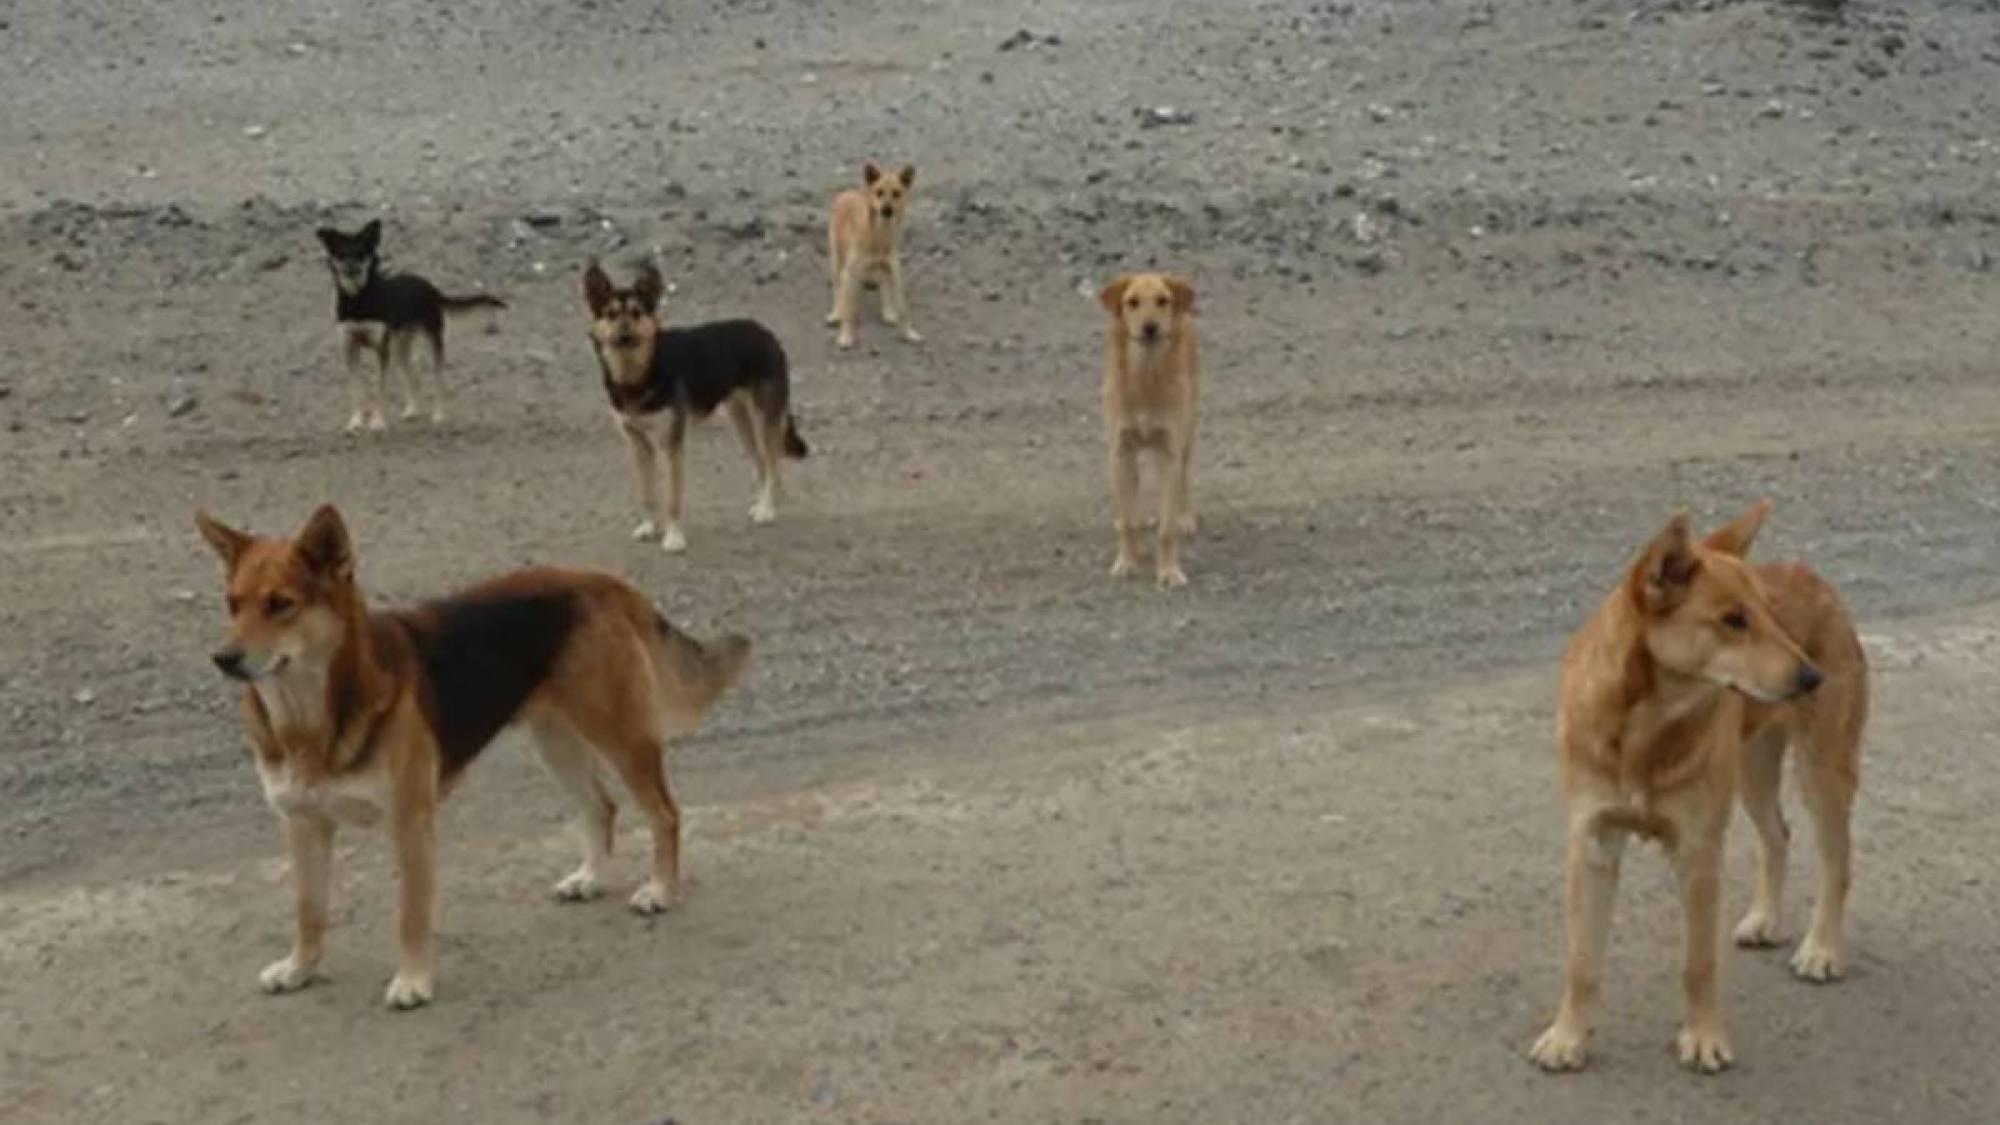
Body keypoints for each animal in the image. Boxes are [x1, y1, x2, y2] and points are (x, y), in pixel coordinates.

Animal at [316, 218, 508, 428]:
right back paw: (412, 410)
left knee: (438, 379)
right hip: (401, 345)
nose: (351, 269)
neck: (358, 299)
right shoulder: (349, 346)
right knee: (414, 374)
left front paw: (378, 422)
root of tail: (432, 288)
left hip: (432, 340)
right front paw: (355, 422)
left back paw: (438, 415)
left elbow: (381, 389)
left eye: (361, 253)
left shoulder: (382, 349)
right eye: (341, 254)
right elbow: (355, 390)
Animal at [584, 255, 804, 552]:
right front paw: (649, 526)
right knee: (761, 463)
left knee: (772, 463)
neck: (638, 374)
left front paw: (674, 537)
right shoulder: (637, 444)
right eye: (610, 314)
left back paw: (767, 509)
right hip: (740, 420)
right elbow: (646, 493)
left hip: (764, 419)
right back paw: (761, 505)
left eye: (637, 313)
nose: (624, 333)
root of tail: (766, 333)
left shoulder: (672, 443)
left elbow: (673, 498)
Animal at [828, 160, 920, 348]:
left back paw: (888, 312)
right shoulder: (850, 273)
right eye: (879, 192)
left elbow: (903, 308)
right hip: (836, 259)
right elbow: (848, 309)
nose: (887, 210)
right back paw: (836, 312)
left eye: (896, 193)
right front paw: (845, 336)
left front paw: (909, 333)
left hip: (880, 269)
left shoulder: (895, 274)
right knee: (837, 288)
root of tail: (847, 192)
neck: (879, 236)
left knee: (883, 284)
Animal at [1104, 272, 1192, 588]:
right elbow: (1129, 521)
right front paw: (1127, 561)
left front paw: (1168, 571)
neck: (1146, 375)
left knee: (1184, 480)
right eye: (1132, 302)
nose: (1150, 327)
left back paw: (1185, 518)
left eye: (1162, 301)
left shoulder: (1169, 450)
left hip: (1187, 438)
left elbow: (1166, 528)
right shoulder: (1120, 452)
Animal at [1528, 498, 1872, 1064]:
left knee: (1836, 861)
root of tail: (1815, 579)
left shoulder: (1699, 850)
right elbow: (1582, 962)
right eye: (1733, 621)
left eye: (1769, 615)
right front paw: (1568, 1037)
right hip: (1753, 770)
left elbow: (1698, 964)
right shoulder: (1592, 844)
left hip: (1822, 771)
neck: (1644, 729)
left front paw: (1704, 1038)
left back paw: (1822, 948)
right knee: (1778, 836)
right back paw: (1766, 919)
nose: (1812, 678)